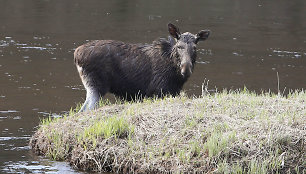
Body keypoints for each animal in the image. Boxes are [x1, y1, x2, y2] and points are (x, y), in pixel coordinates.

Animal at [74, 23, 209, 111]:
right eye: (179, 46)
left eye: (195, 47)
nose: (186, 69)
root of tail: (77, 54)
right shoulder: (159, 91)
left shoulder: (172, 92)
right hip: (96, 86)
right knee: (85, 109)